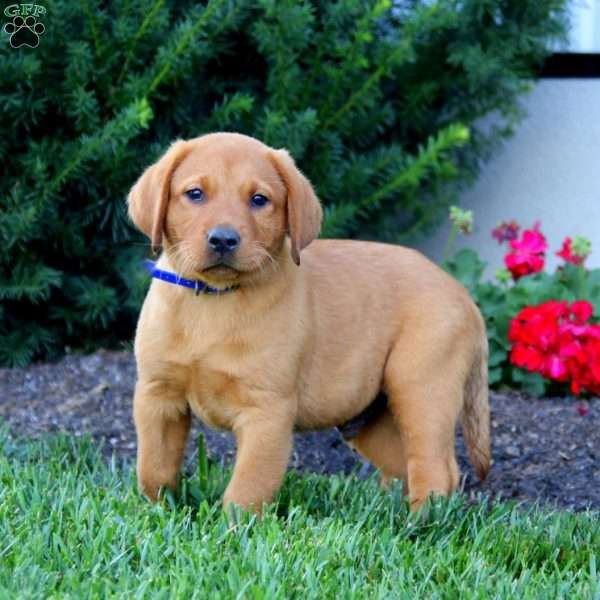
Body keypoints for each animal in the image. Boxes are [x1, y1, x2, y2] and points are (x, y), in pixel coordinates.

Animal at [129, 132, 490, 510]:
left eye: (259, 200)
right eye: (195, 194)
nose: (224, 239)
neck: (214, 298)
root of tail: (464, 295)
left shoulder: (268, 410)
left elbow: (246, 489)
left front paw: (233, 524)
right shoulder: (157, 395)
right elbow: (153, 468)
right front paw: (157, 509)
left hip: (422, 386)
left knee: (438, 469)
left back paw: (417, 521)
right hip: (370, 417)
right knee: (404, 463)